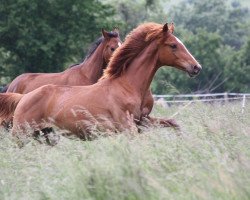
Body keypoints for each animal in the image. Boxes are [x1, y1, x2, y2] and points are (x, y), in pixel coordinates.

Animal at [0, 21, 201, 138]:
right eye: (173, 45)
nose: (196, 67)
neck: (127, 85)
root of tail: (21, 97)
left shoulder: (143, 120)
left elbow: (174, 124)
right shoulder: (127, 127)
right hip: (21, 134)